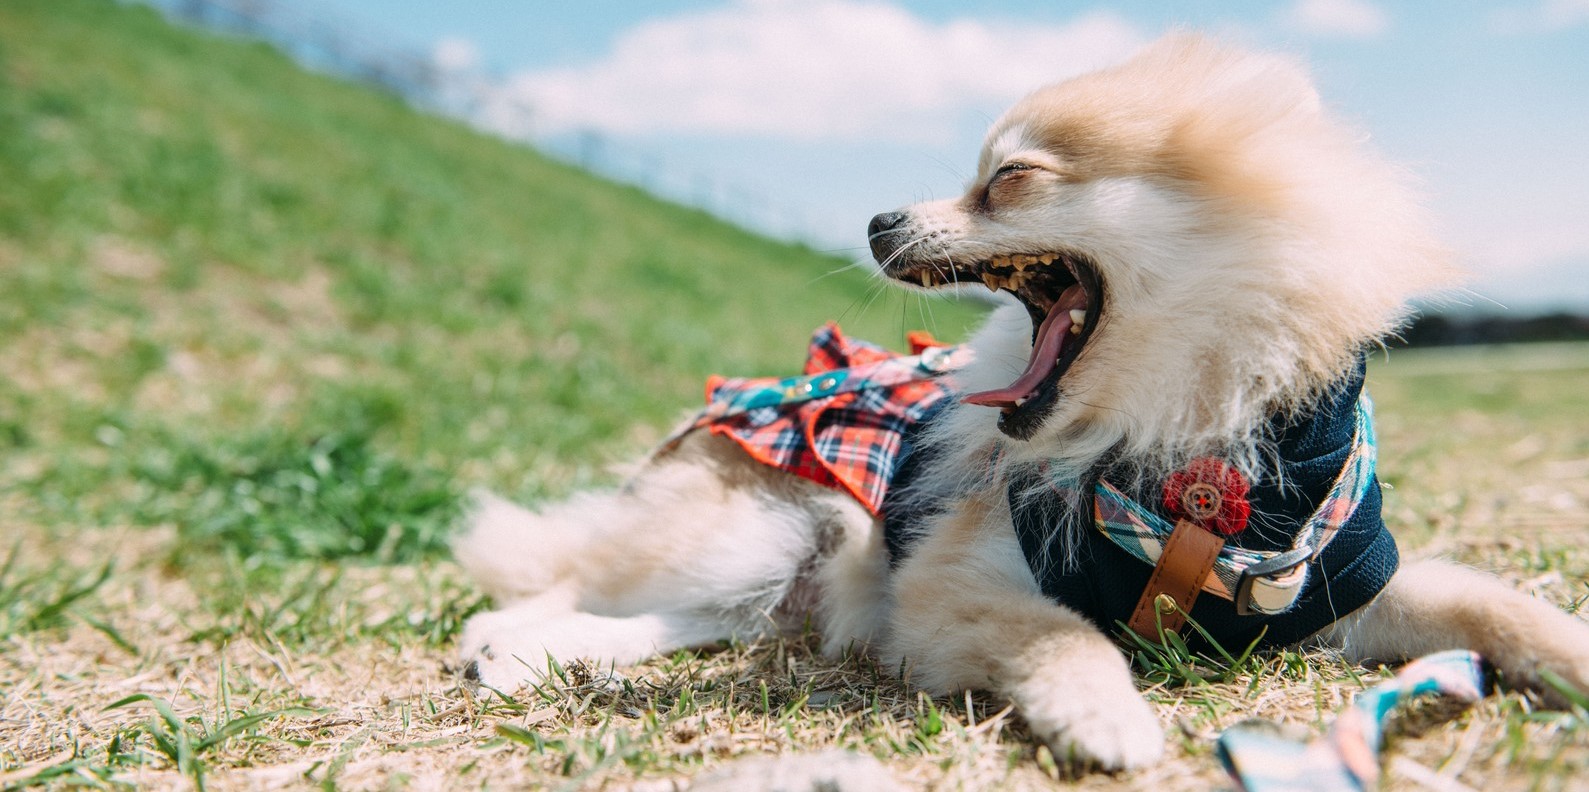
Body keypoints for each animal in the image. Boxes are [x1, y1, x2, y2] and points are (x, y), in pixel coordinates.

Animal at [454, 35, 1589, 766]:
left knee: (655, 617)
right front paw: (1109, 721)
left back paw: (535, 657)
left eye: (1005, 181)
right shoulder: (945, 592)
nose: (875, 219)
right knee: (569, 576)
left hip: (759, 581)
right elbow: (1063, 635)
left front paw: (1571, 659)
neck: (1181, 443)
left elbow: (1491, 603)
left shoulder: (1323, 586)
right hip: (760, 532)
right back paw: (497, 646)